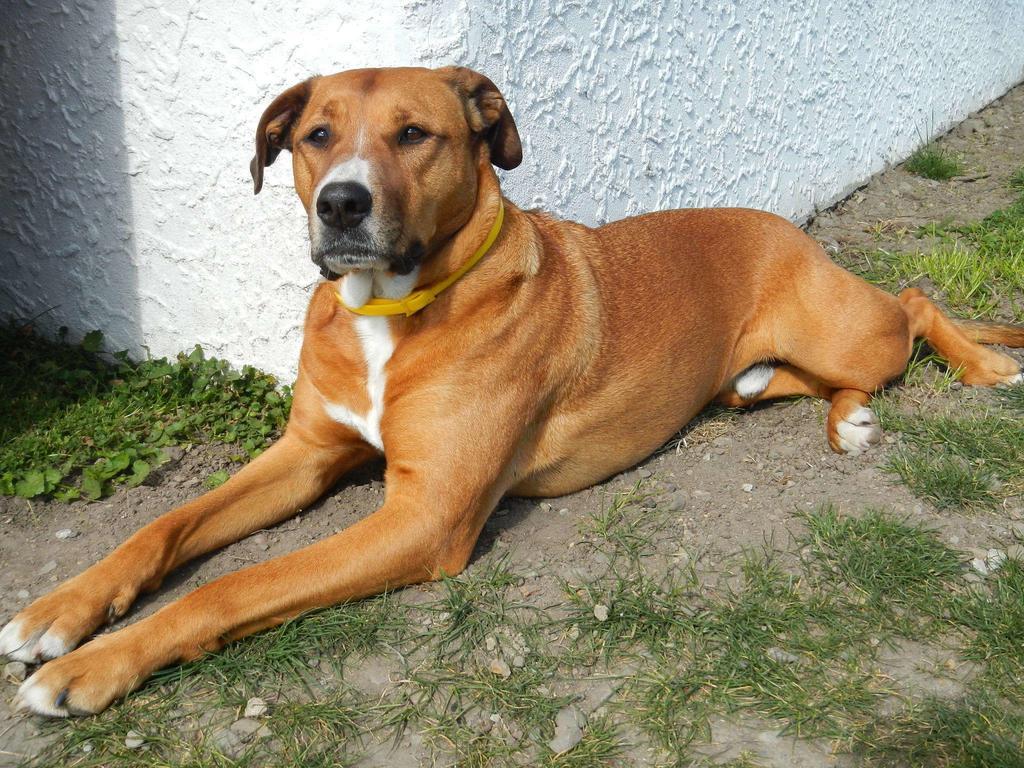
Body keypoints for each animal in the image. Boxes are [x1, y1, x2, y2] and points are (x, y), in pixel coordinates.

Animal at [6, 64, 1024, 716]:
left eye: (416, 134)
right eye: (314, 136)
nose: (341, 204)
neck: (392, 308)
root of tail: (787, 225)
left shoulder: (425, 516)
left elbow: (232, 586)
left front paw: (95, 666)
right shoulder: (306, 454)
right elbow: (164, 527)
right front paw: (60, 614)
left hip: (846, 327)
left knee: (914, 303)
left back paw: (982, 367)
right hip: (747, 381)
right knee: (818, 376)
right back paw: (848, 418)